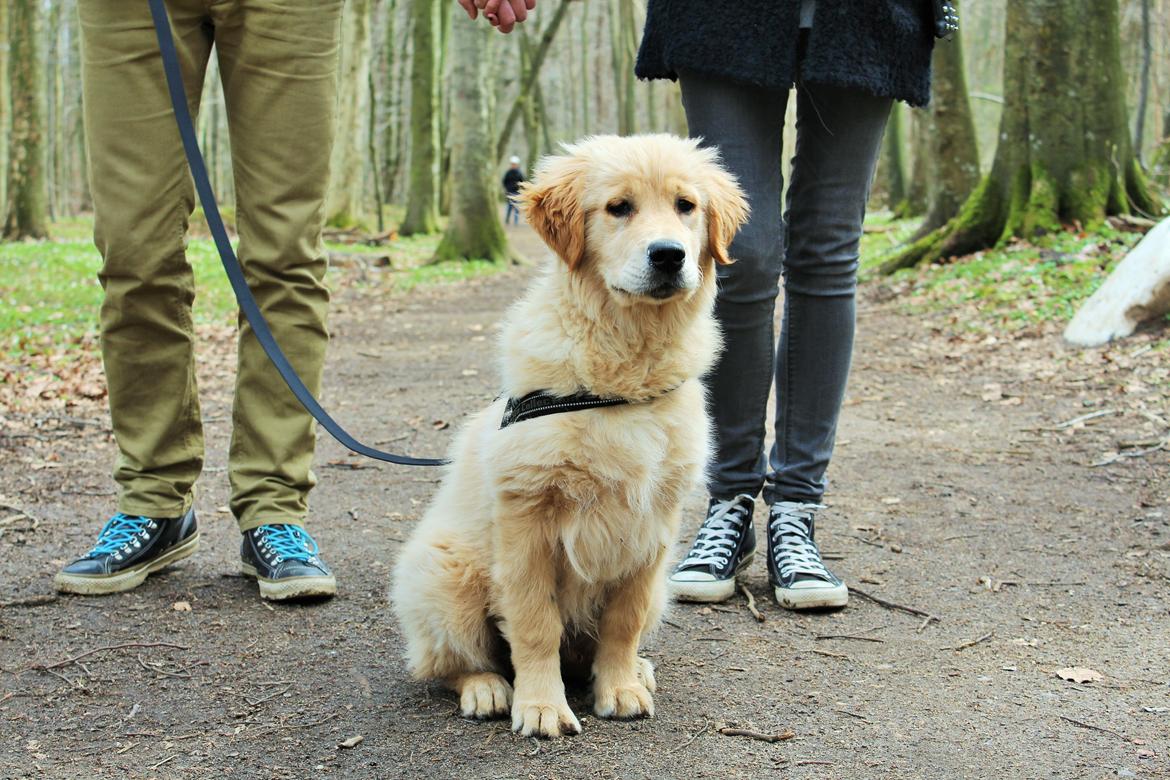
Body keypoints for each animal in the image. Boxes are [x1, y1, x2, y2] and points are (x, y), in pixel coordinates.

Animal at [388, 132, 744, 739]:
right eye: (619, 207)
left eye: (686, 206)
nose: (668, 254)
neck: (621, 377)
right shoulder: (528, 516)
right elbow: (535, 625)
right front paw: (541, 707)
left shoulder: (654, 526)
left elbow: (623, 620)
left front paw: (619, 686)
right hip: (442, 572)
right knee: (448, 662)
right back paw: (486, 688)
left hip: (662, 588)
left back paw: (631, 670)